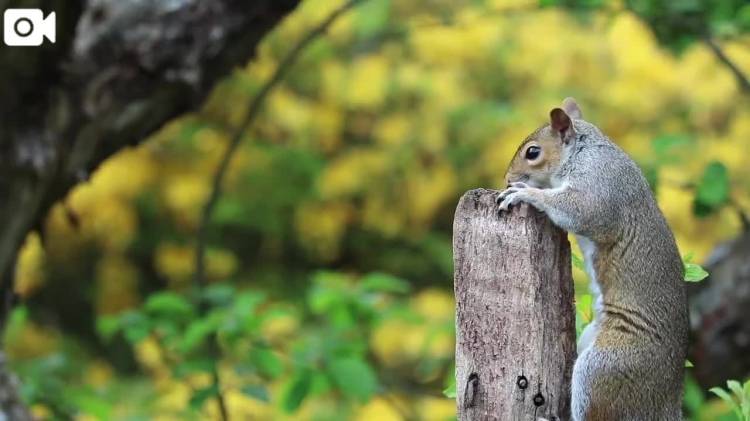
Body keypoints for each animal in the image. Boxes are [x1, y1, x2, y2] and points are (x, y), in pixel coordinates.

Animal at [500, 99, 688, 420]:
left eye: (533, 152)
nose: (508, 179)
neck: (582, 151)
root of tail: (664, 403)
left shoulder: (598, 186)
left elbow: (580, 210)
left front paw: (525, 193)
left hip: (604, 368)